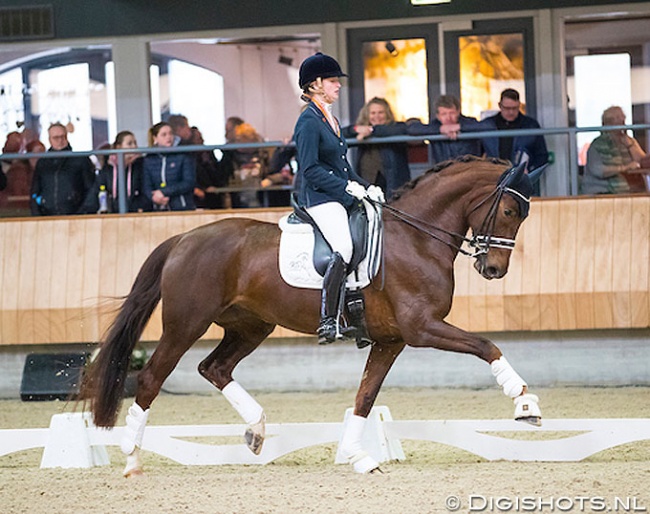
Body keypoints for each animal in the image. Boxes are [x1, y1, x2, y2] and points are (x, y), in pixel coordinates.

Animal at [83, 156, 540, 476]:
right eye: (509, 213)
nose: (493, 269)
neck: (416, 238)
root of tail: (183, 238)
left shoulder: (392, 340)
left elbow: (365, 398)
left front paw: (358, 456)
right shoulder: (421, 328)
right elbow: (486, 345)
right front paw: (524, 403)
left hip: (251, 326)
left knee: (214, 368)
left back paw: (256, 430)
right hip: (186, 324)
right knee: (151, 378)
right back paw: (132, 460)